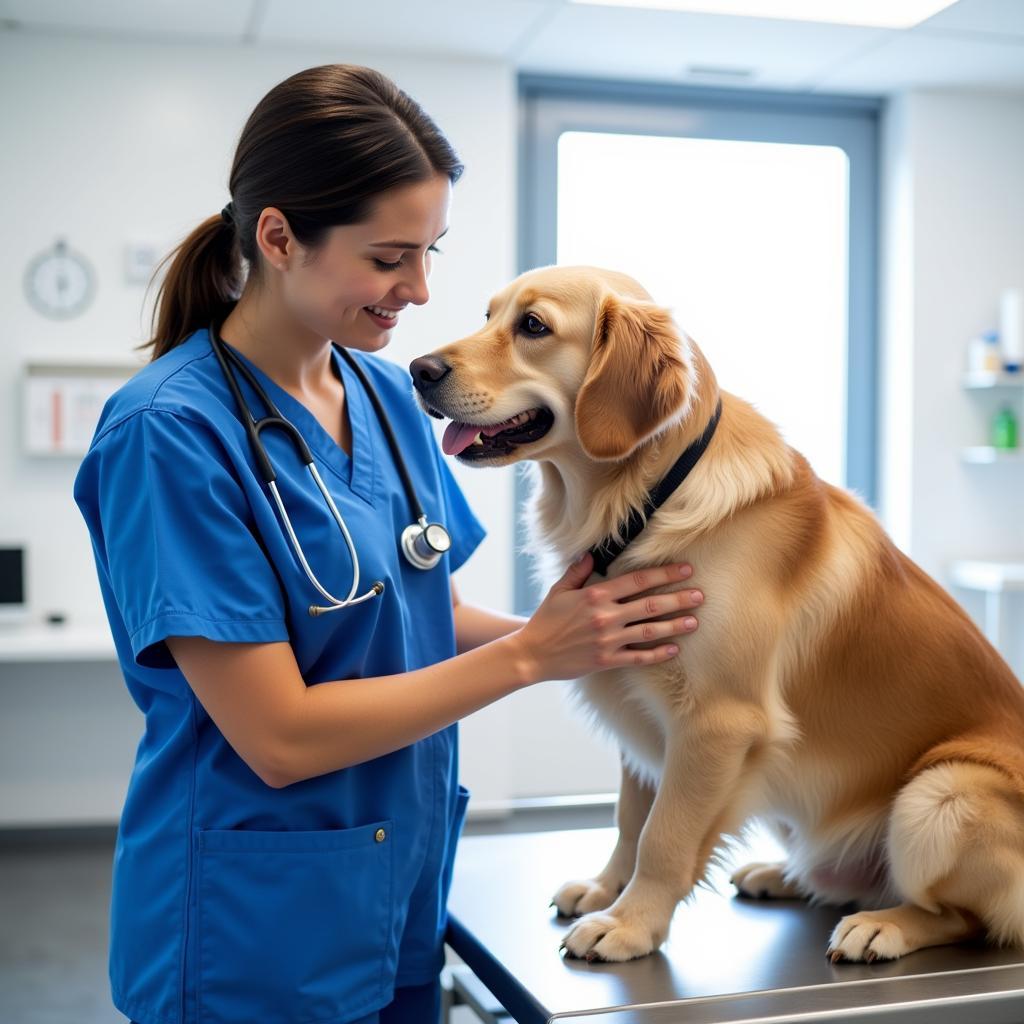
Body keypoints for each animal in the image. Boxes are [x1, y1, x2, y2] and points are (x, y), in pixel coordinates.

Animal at [407, 264, 1024, 958]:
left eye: (533, 326)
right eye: (488, 316)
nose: (417, 370)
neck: (643, 501)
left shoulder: (718, 722)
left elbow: (665, 835)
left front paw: (629, 924)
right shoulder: (642, 710)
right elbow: (630, 818)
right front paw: (605, 890)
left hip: (941, 793)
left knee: (963, 917)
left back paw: (884, 924)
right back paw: (784, 874)